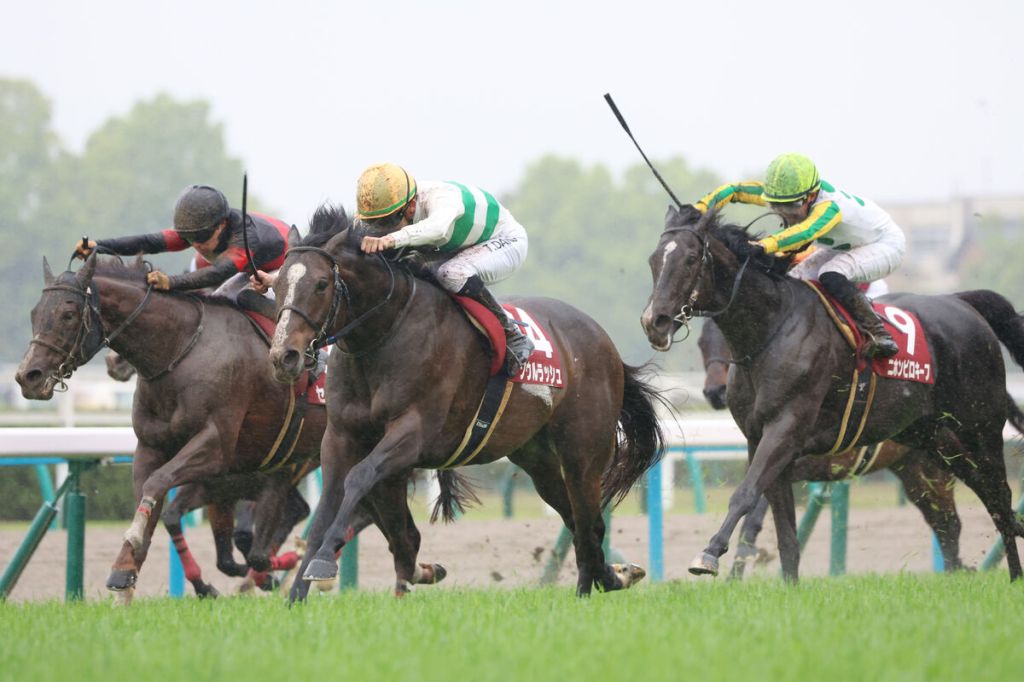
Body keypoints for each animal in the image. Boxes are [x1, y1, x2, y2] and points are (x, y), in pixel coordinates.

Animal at [15, 254, 452, 601]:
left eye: (68, 313)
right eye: (34, 313)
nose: (28, 376)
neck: (179, 353)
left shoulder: (216, 446)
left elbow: (160, 488)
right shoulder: (161, 452)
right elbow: (156, 504)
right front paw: (126, 573)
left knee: (355, 512)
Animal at [268, 204, 665, 598]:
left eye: (321, 284)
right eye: (277, 284)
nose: (284, 356)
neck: (385, 332)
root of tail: (603, 340)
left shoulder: (413, 432)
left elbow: (359, 477)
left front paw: (323, 562)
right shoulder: (341, 436)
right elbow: (334, 507)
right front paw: (297, 593)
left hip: (583, 452)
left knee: (586, 520)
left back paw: (591, 587)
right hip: (537, 459)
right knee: (576, 519)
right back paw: (611, 576)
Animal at [642, 204, 1024, 581]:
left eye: (691, 258)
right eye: (654, 260)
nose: (654, 322)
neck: (771, 329)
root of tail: (961, 303)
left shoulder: (785, 431)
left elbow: (746, 497)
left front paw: (709, 555)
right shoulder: (759, 439)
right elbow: (784, 533)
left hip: (979, 428)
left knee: (998, 494)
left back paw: (1014, 574)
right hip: (930, 441)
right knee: (966, 509)